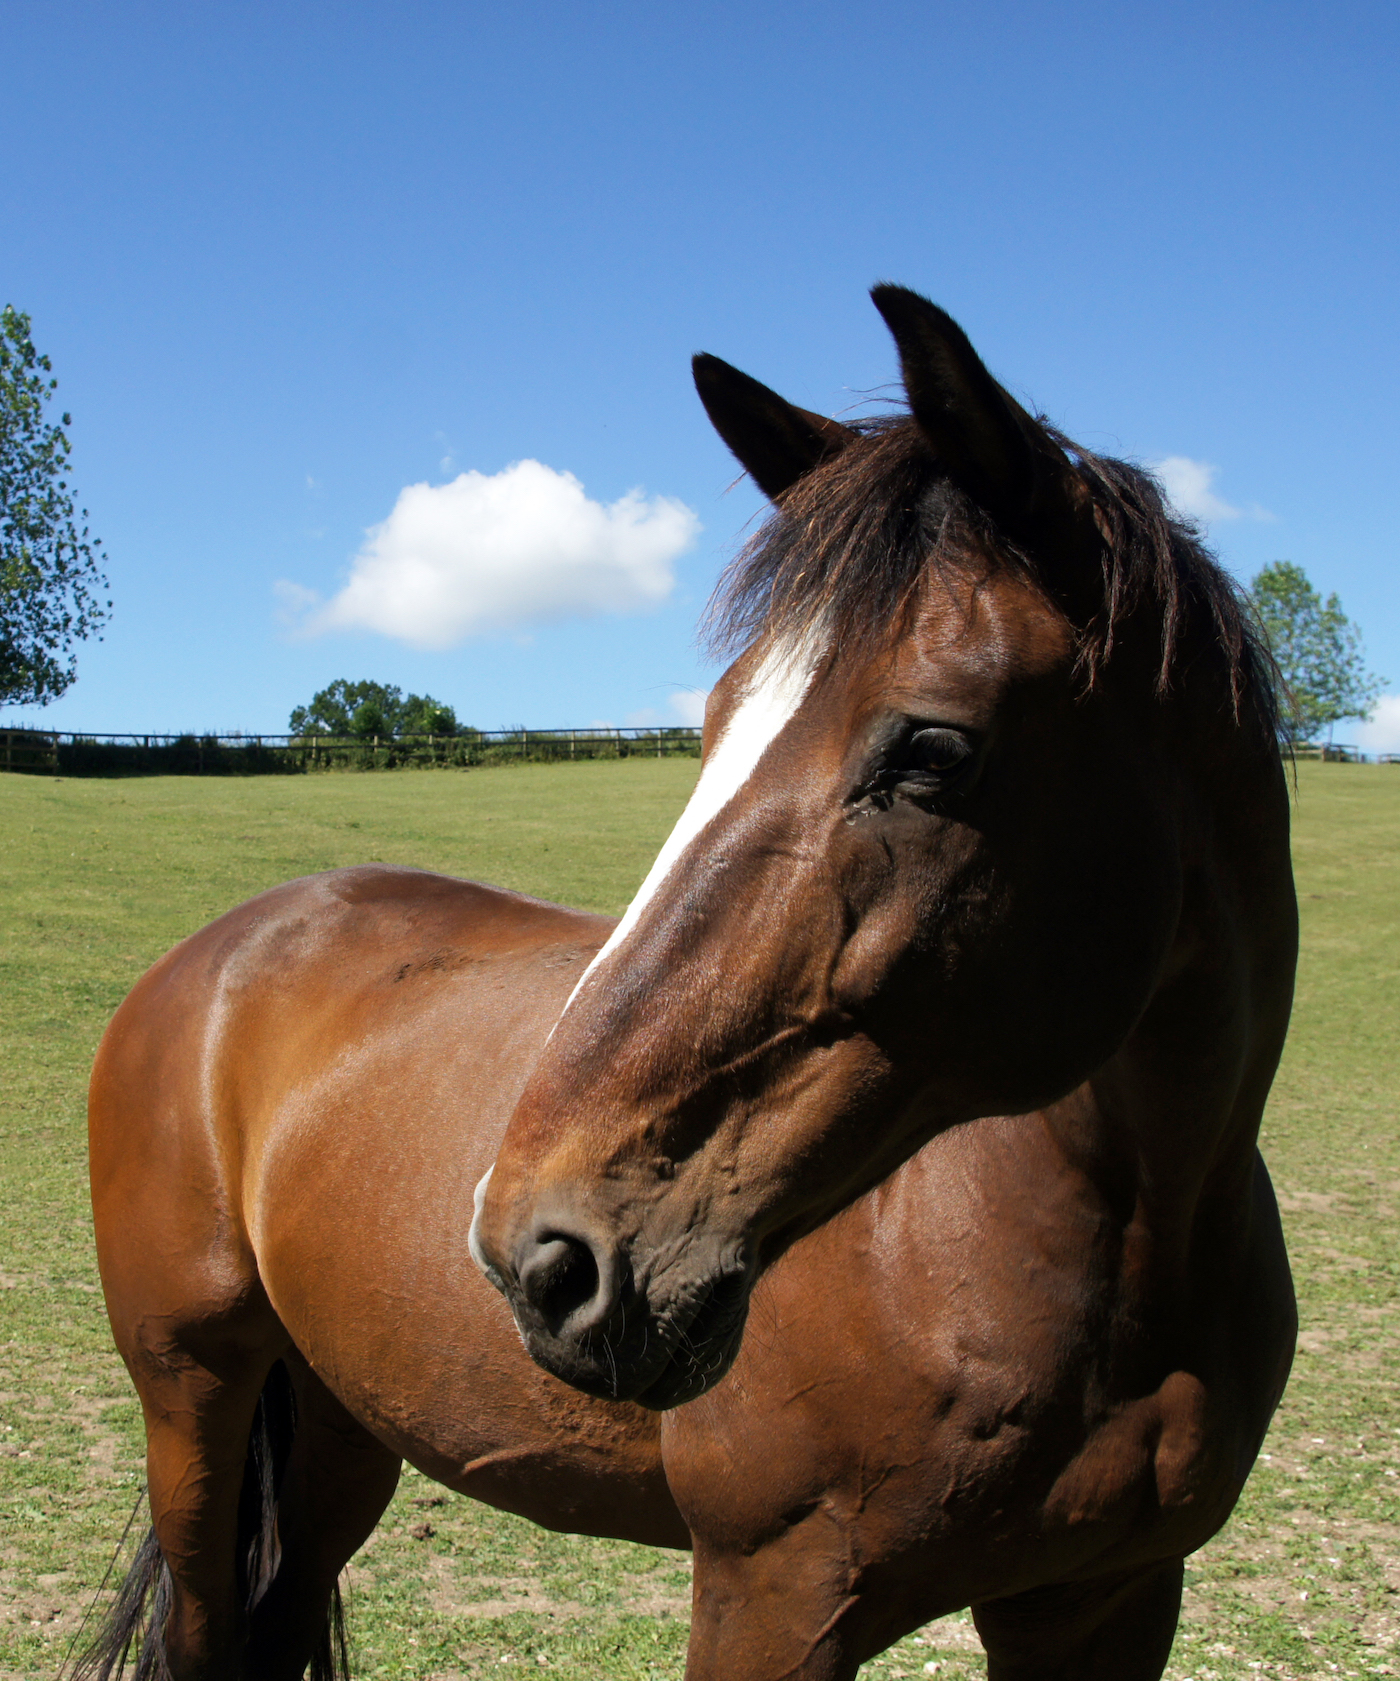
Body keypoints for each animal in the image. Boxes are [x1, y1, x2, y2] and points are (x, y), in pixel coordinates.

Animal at [82, 286, 1297, 1681]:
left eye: (931, 751)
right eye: (712, 722)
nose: (540, 1255)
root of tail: (217, 953)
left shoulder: (1108, 1600)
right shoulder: (772, 1592)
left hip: (342, 1418)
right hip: (195, 1401)